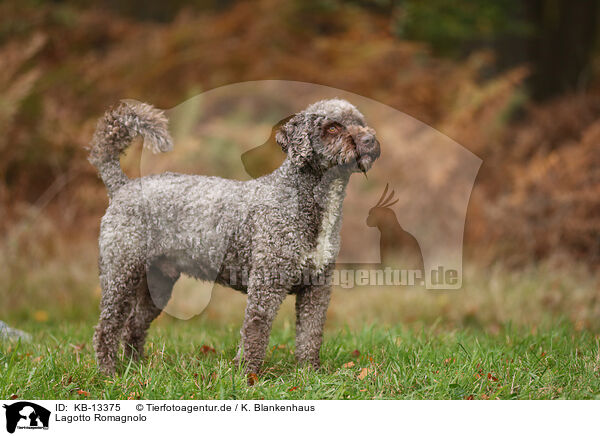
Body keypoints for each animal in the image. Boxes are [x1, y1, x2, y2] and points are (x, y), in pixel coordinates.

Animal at [89, 98, 380, 374]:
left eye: (360, 122)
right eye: (332, 128)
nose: (370, 140)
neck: (298, 198)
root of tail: (123, 186)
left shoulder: (317, 287)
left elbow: (310, 334)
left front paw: (310, 372)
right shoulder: (266, 285)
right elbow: (255, 332)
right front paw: (248, 376)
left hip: (157, 283)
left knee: (133, 325)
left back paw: (134, 367)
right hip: (121, 273)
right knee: (106, 328)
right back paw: (109, 373)